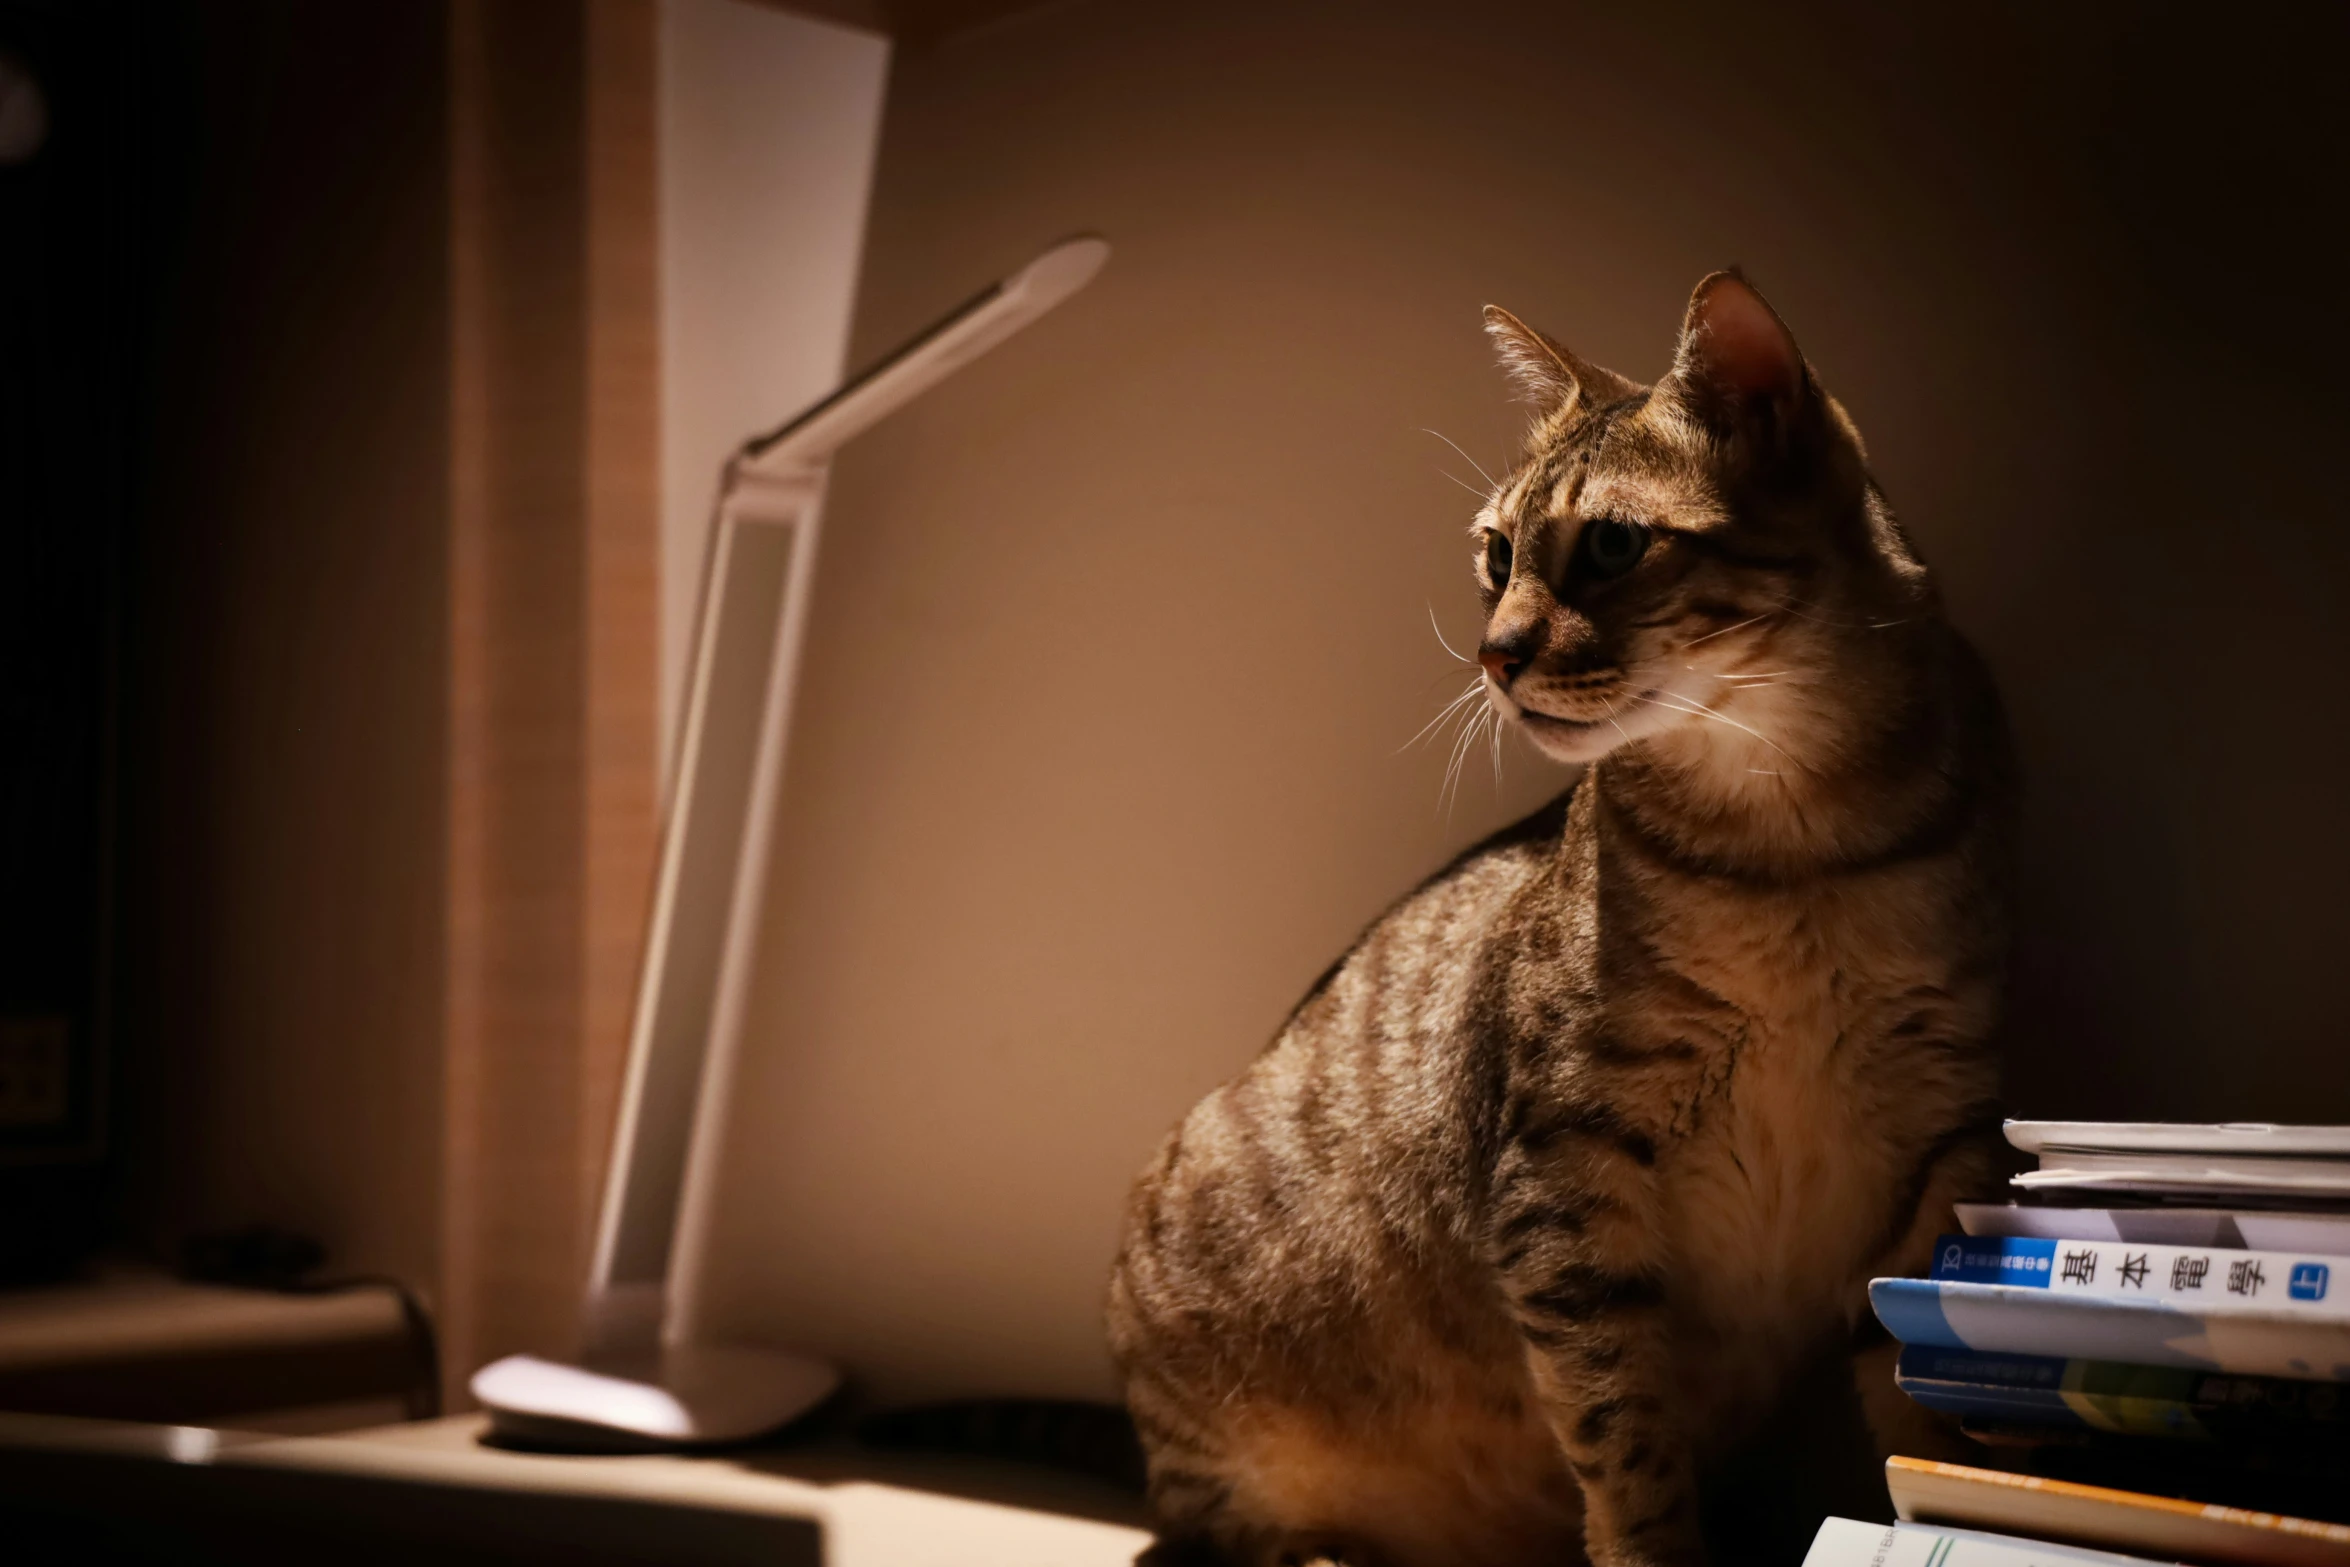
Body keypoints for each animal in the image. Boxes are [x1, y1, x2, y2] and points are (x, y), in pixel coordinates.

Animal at [1109, 272, 2011, 1567]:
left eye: (1613, 544)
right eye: (1495, 554)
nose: (1490, 655)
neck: (1794, 841)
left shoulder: (1940, 1141)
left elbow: (1920, 1419)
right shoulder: (1564, 1172)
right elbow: (1621, 1436)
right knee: (1204, 1530)